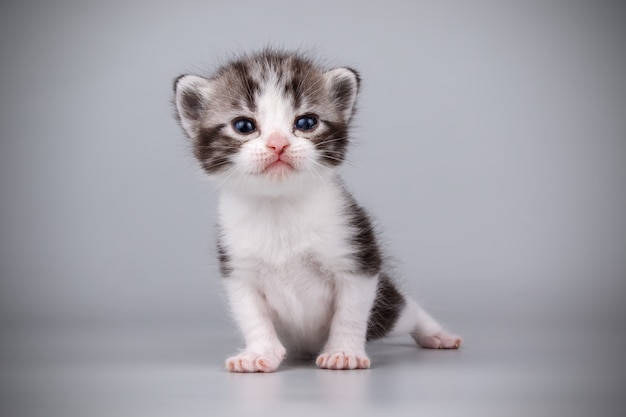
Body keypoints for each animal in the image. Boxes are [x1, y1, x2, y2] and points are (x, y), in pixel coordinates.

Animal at [173, 48, 460, 370]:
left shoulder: (355, 255)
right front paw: (259, 352)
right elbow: (252, 316)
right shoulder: (239, 268)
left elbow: (350, 312)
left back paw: (436, 335)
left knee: (406, 309)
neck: (279, 207)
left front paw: (344, 352)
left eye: (306, 123)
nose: (278, 144)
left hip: (385, 313)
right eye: (244, 126)